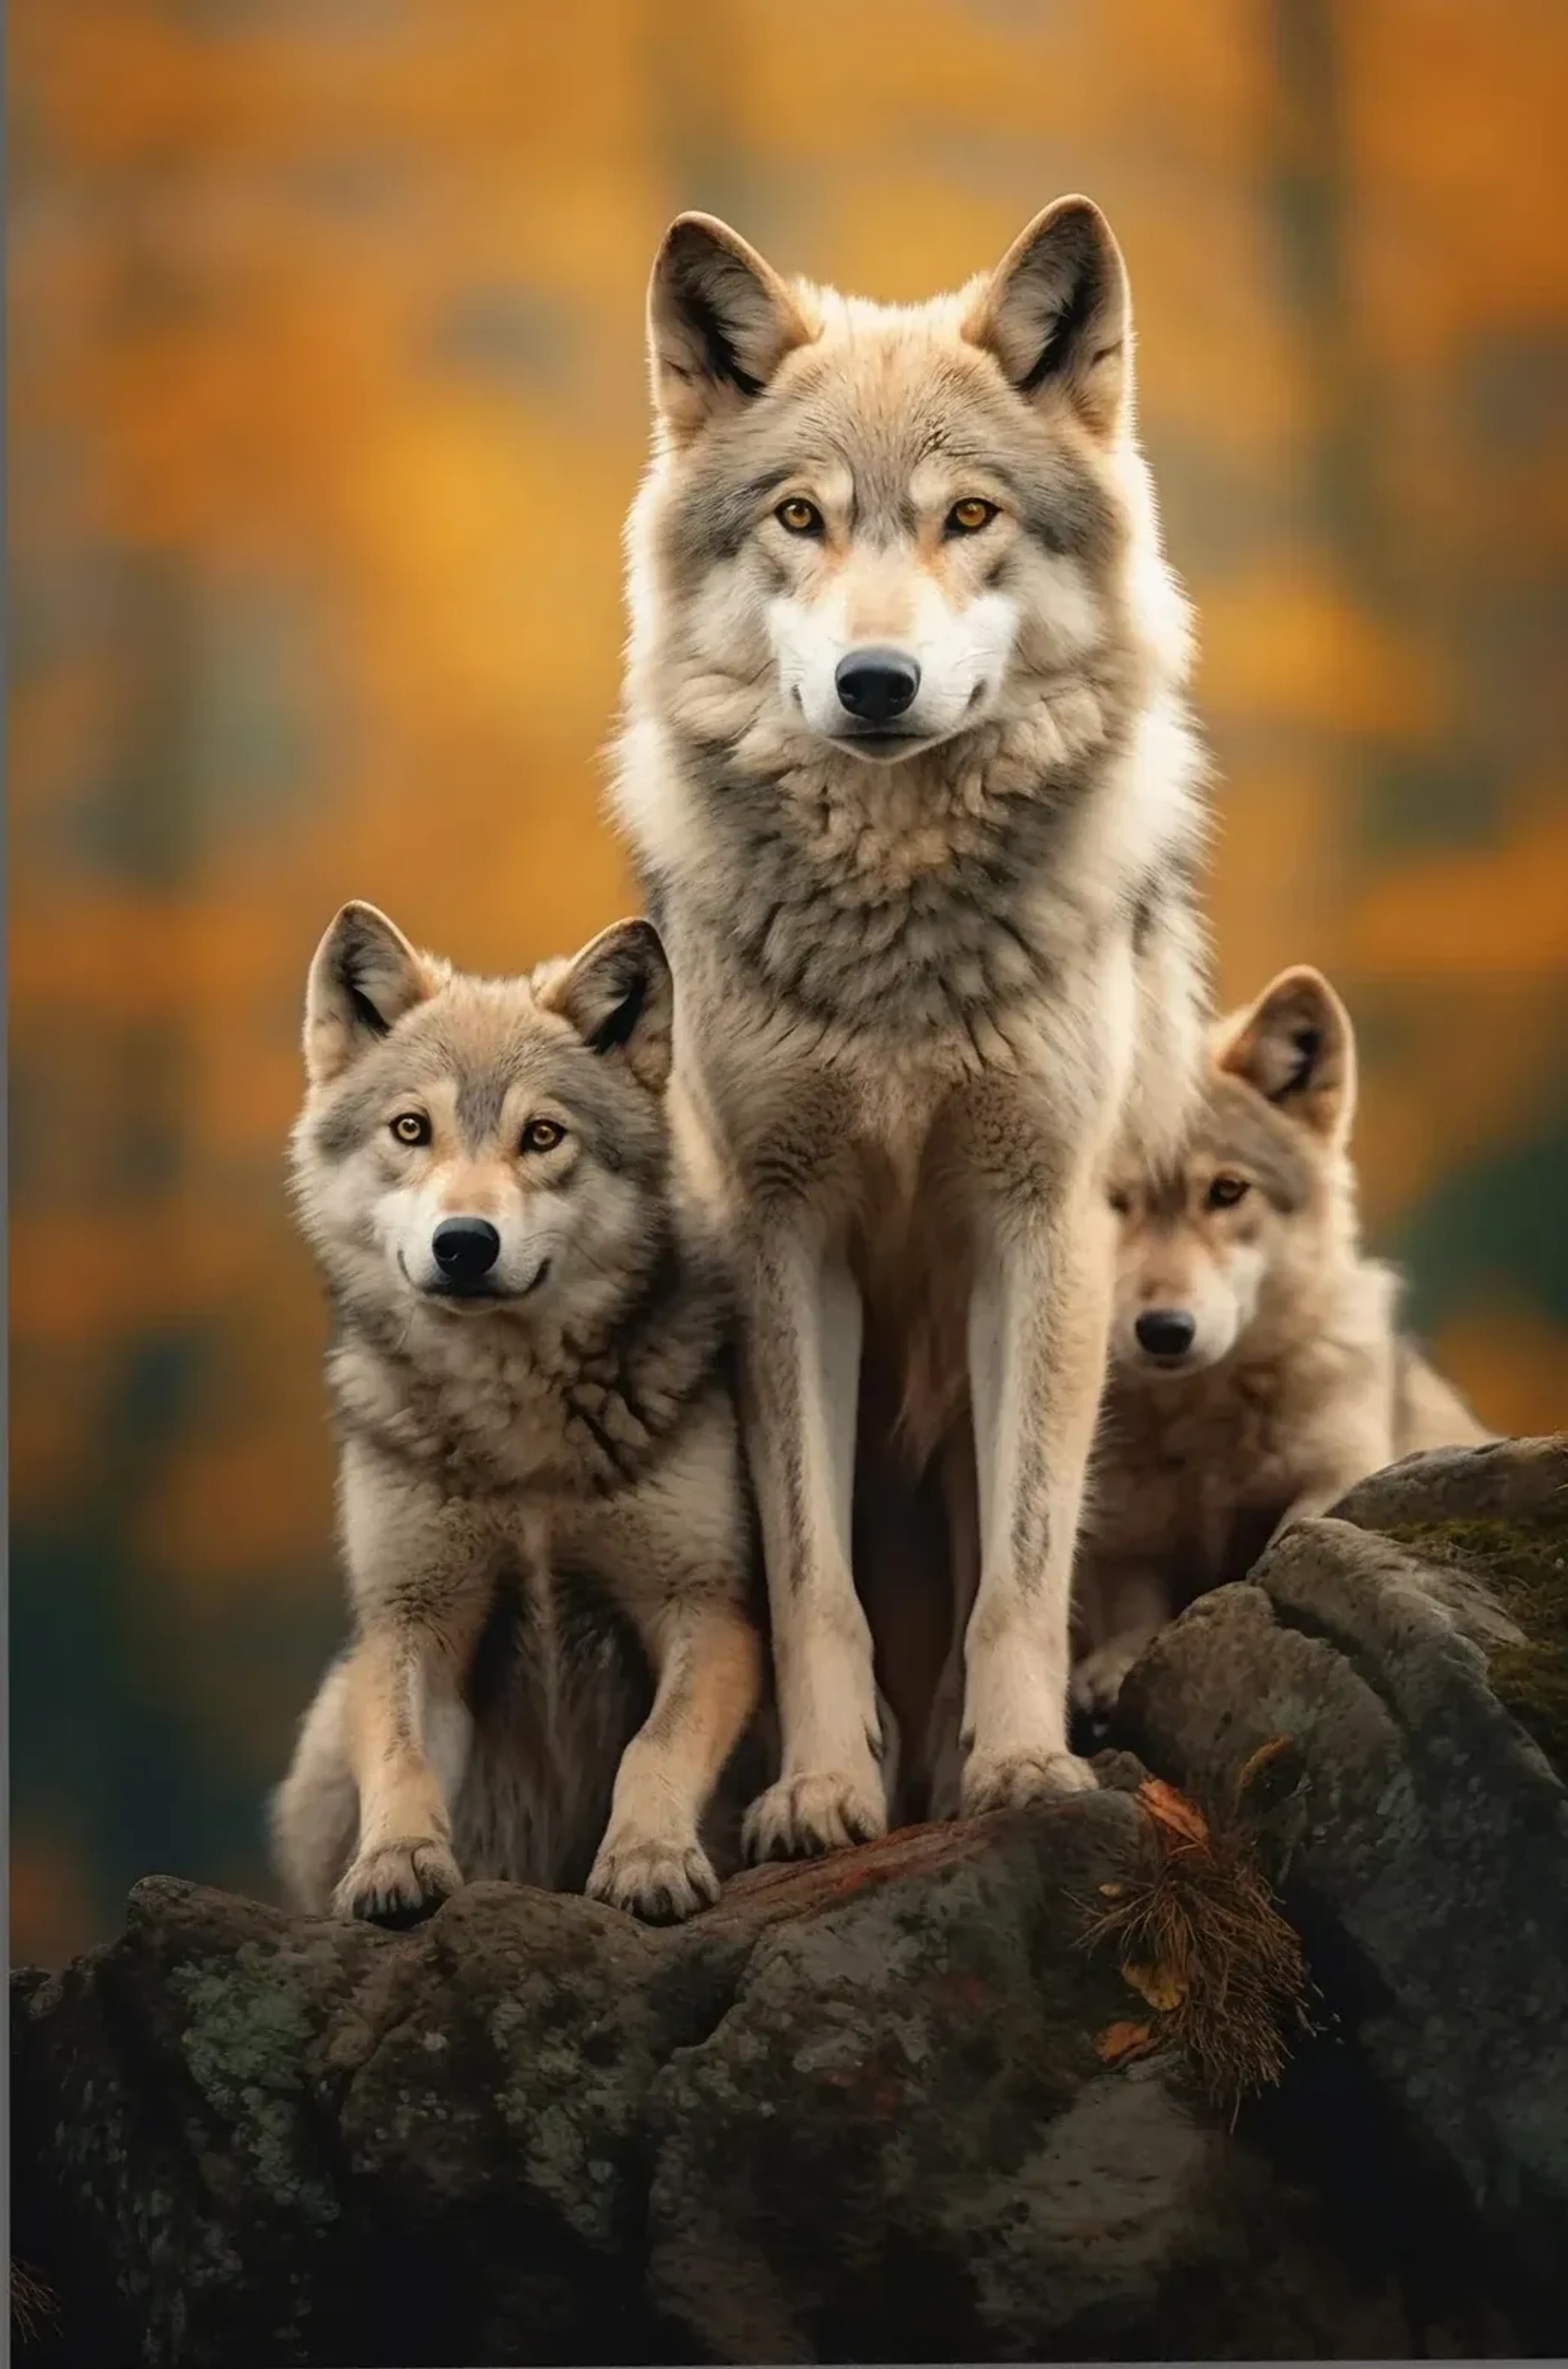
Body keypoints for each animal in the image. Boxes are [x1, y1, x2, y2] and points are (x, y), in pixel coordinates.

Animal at [270, 903, 763, 1925]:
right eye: (411, 1128)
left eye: (543, 1135)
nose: (465, 1243)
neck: (519, 1438)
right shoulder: (412, 1619)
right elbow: (404, 1758)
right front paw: (397, 1862)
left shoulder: (704, 1607)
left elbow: (653, 1748)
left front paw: (648, 1861)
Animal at [612, 195, 1210, 1848]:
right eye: (799, 519)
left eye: (967, 516)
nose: (874, 682)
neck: (893, 919)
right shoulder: (783, 1231)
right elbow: (812, 1579)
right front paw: (822, 1789)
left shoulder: (1037, 1222)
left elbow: (1021, 1567)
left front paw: (1017, 1772)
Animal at [1072, 963, 1492, 1720]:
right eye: (1112, 1201)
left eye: (1226, 1190)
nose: (1166, 1330)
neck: (1203, 1424)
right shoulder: (1122, 1541)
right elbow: (1134, 1608)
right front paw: (1115, 1668)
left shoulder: (1342, 1470)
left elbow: (1292, 1534)